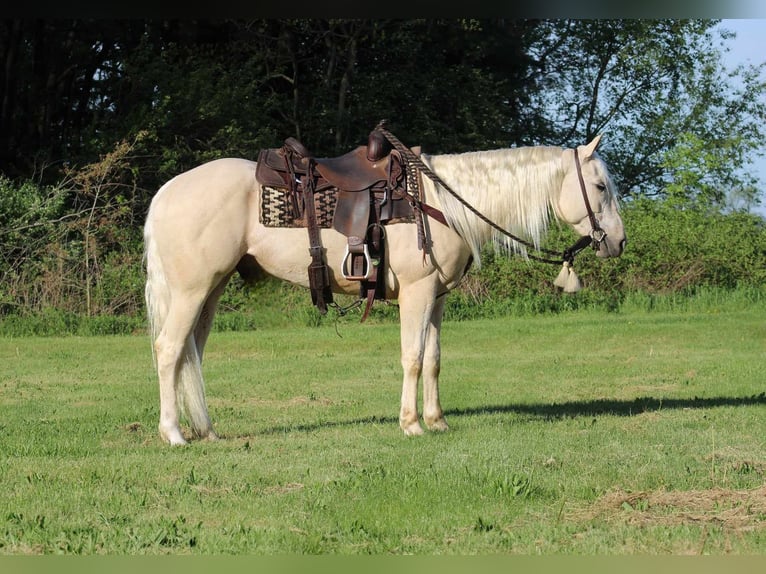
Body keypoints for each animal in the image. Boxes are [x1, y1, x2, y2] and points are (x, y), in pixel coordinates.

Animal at [146, 133, 632, 448]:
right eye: (600, 186)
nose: (619, 241)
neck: (442, 203)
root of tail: (166, 191)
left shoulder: (437, 298)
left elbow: (434, 359)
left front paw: (437, 421)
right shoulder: (417, 294)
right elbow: (412, 357)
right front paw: (411, 424)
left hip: (211, 290)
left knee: (192, 354)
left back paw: (206, 430)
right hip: (191, 291)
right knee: (169, 349)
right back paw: (173, 434)